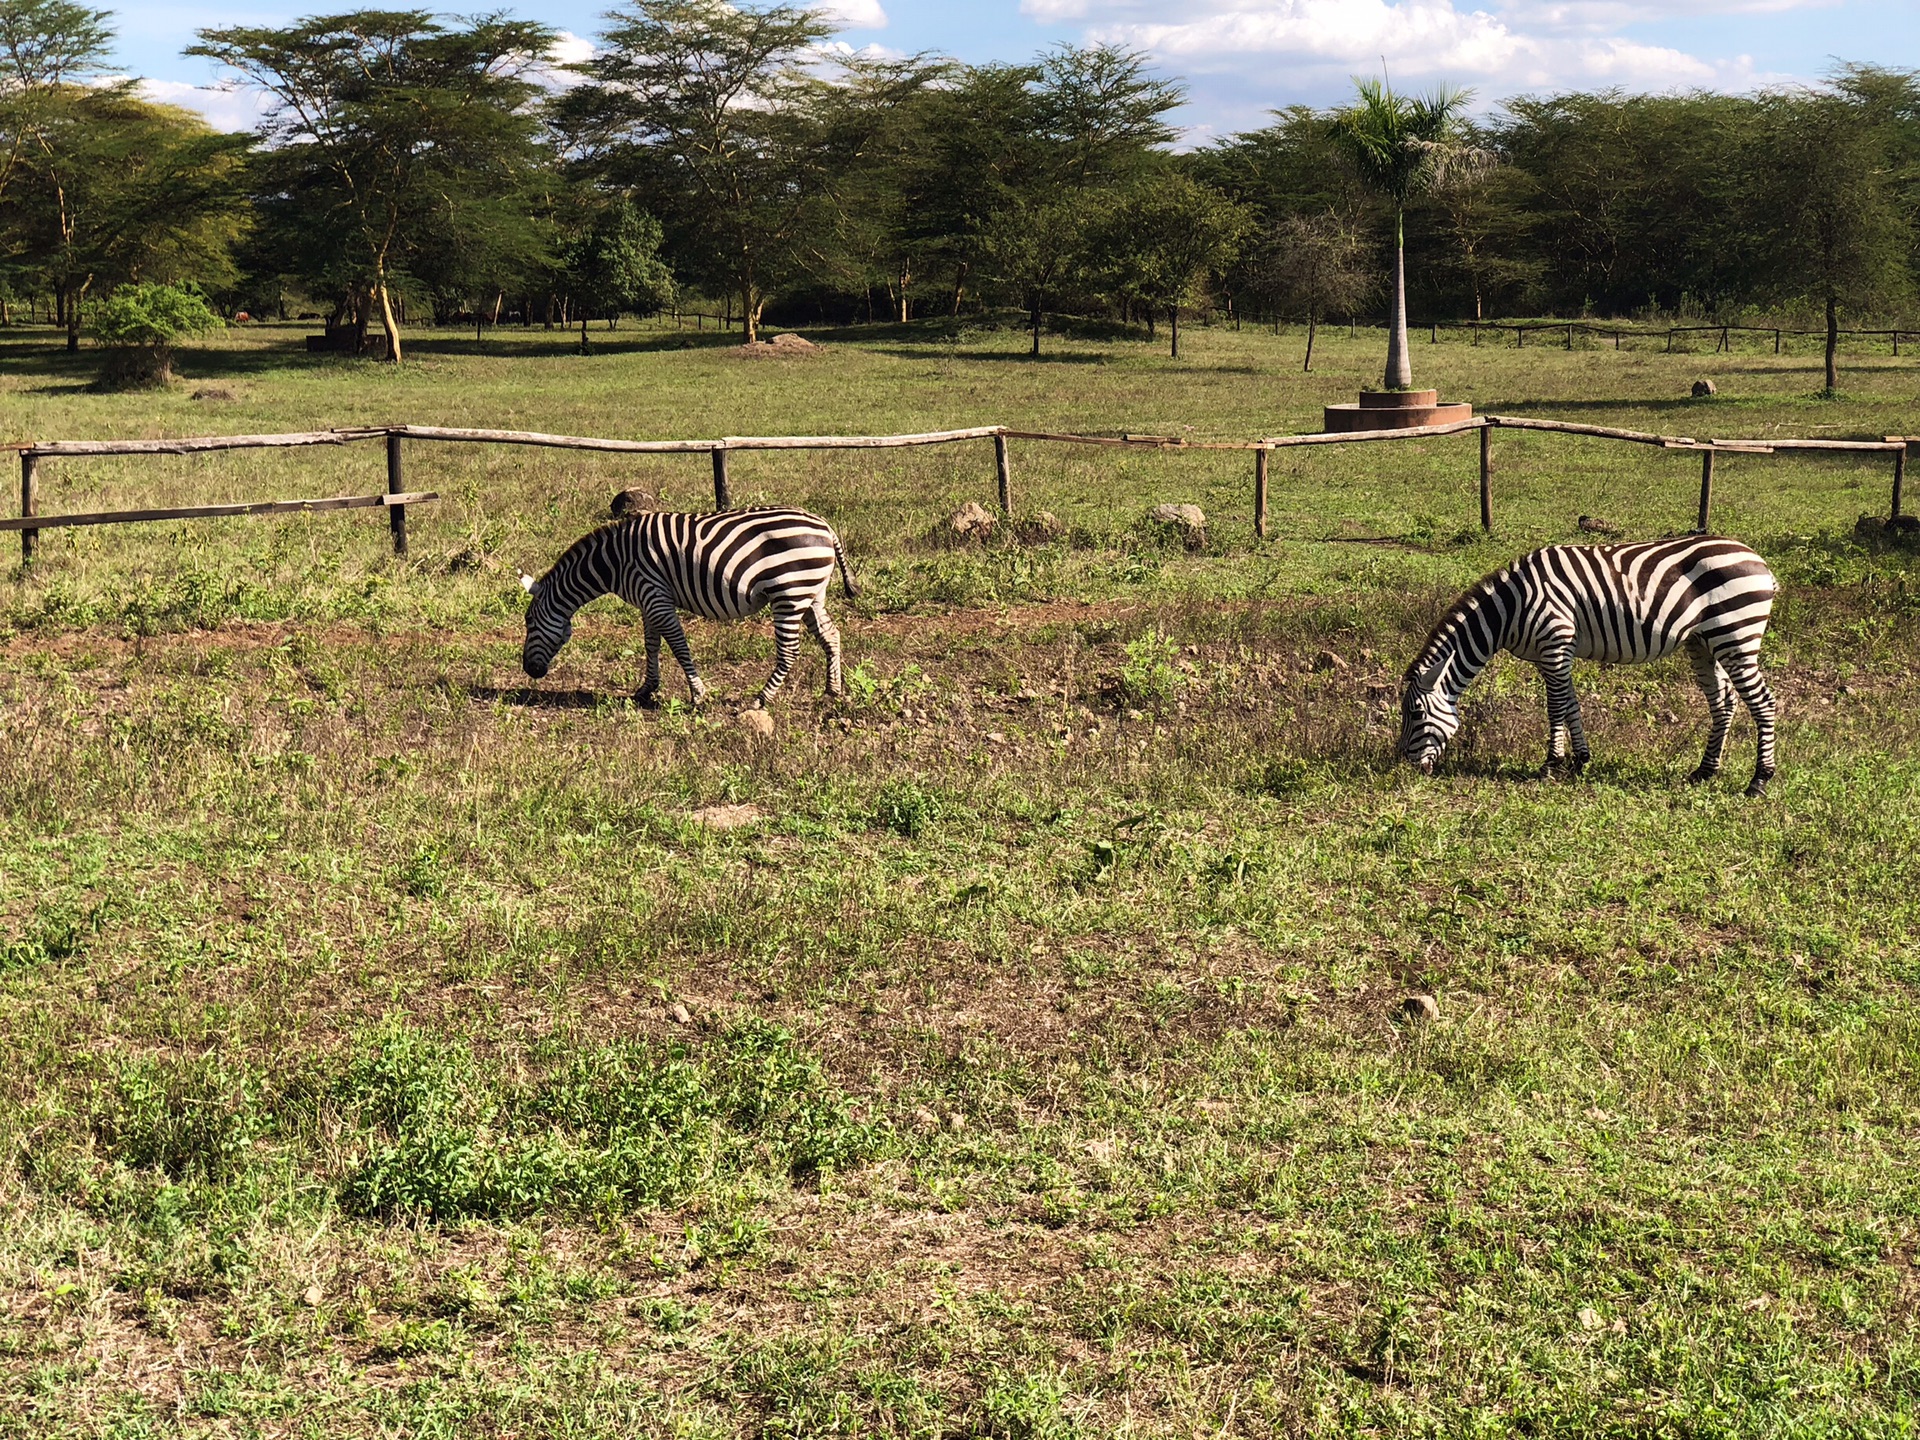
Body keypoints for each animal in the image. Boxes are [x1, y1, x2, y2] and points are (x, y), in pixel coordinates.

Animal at [522, 506, 860, 710]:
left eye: (529, 622)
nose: (529, 670)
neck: (615, 561)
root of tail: (825, 526)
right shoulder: (648, 600)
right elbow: (652, 645)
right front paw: (646, 689)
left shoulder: (655, 596)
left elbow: (678, 645)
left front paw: (698, 694)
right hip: (811, 594)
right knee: (831, 635)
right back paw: (832, 690)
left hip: (789, 592)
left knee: (789, 651)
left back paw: (760, 699)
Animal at [1397, 537, 1781, 794]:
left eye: (1416, 714)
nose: (1403, 766)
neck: (1510, 609)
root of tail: (1759, 561)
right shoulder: (1551, 653)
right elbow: (1570, 704)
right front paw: (1580, 759)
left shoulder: (1555, 642)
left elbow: (1554, 707)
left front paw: (1550, 765)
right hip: (1703, 642)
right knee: (1724, 703)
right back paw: (1705, 771)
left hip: (1736, 634)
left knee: (1763, 703)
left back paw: (1759, 780)